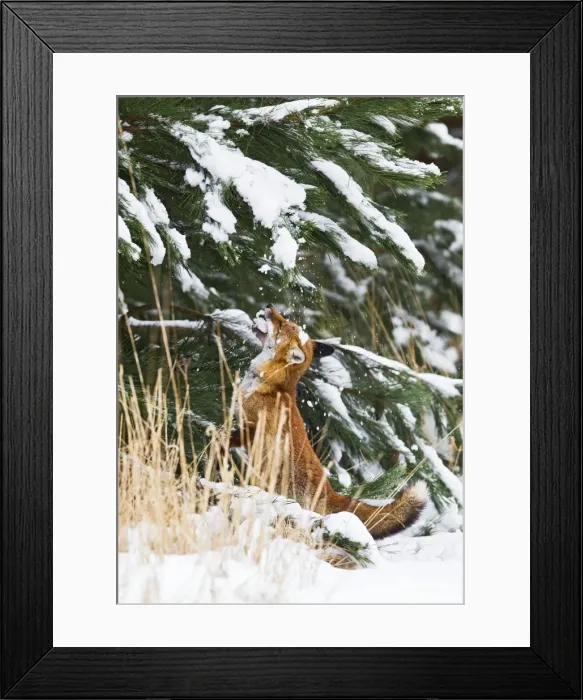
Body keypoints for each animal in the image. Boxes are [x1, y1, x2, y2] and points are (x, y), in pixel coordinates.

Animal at [232, 304, 428, 540]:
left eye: (281, 325)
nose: (269, 307)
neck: (271, 385)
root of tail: (330, 491)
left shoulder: (252, 428)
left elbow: (228, 438)